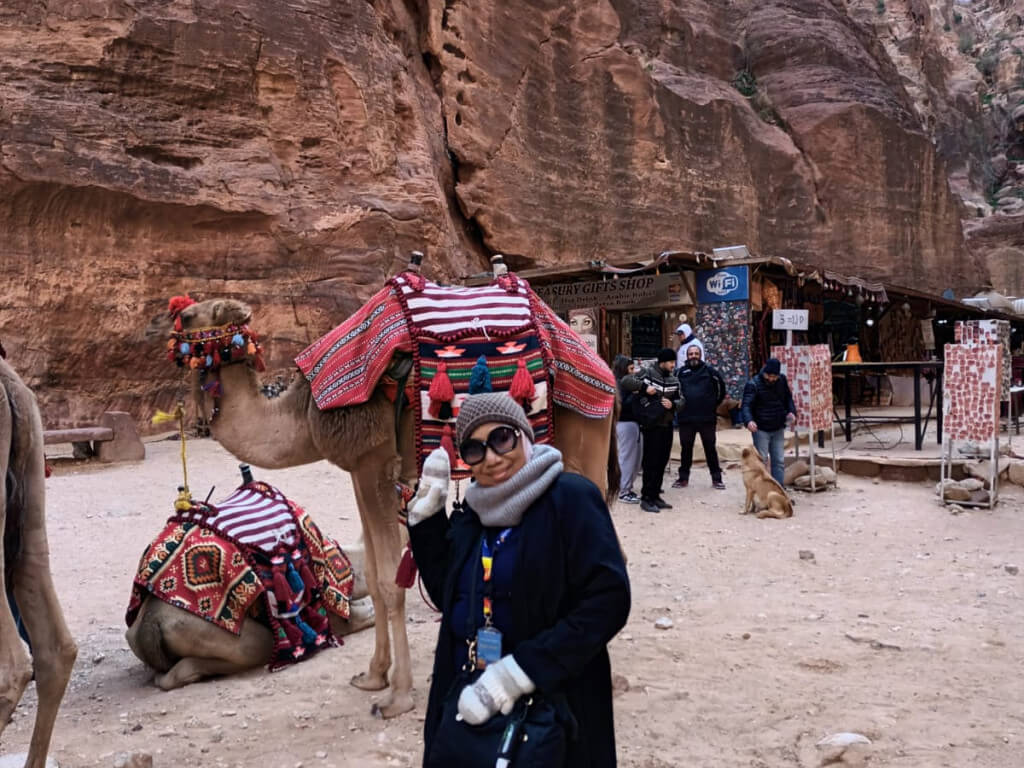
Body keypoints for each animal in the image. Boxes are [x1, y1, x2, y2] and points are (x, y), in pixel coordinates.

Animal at [153, 290, 614, 720]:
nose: (159, 328)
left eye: (187, 315)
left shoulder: (373, 457)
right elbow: (374, 578)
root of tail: (600, 364)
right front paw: (374, 676)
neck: (303, 411)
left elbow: (392, 584)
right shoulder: (357, 468)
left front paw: (398, 697)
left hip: (583, 432)